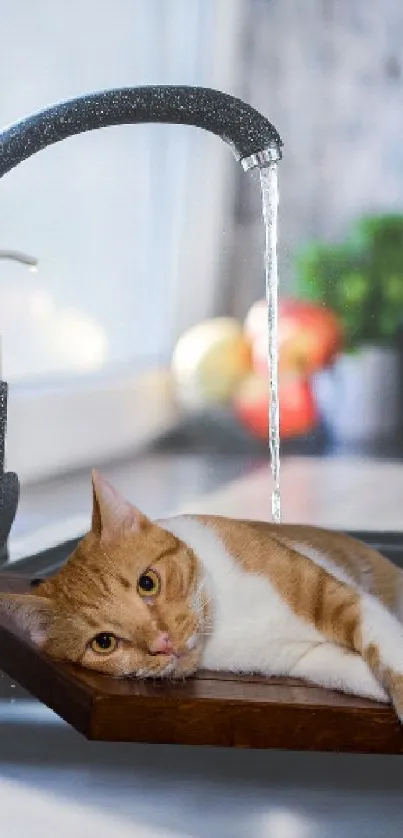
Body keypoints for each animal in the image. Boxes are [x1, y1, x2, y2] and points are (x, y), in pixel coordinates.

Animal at [0, 472, 403, 720]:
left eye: (147, 583)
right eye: (103, 642)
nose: (162, 643)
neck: (224, 617)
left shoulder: (336, 595)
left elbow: (386, 650)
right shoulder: (300, 658)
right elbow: (345, 670)